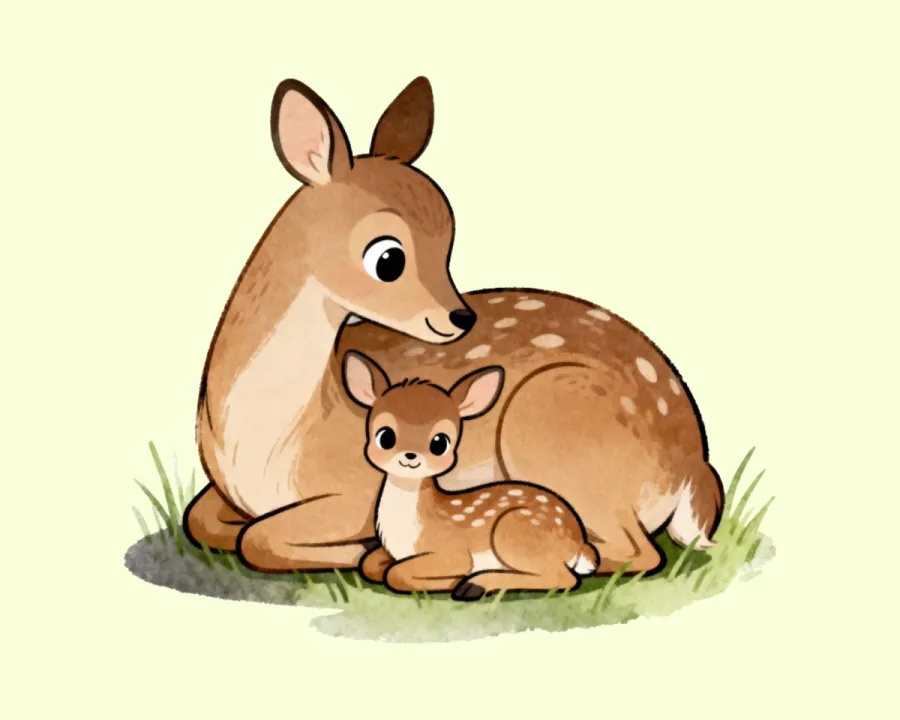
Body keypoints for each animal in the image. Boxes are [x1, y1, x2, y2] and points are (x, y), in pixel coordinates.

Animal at [342, 351, 600, 600]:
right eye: (385, 436)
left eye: (440, 443)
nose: (410, 456)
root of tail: (579, 542)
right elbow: (369, 564)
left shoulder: (452, 552)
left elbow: (396, 574)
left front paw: (451, 581)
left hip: (514, 530)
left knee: (564, 578)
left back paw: (474, 585)